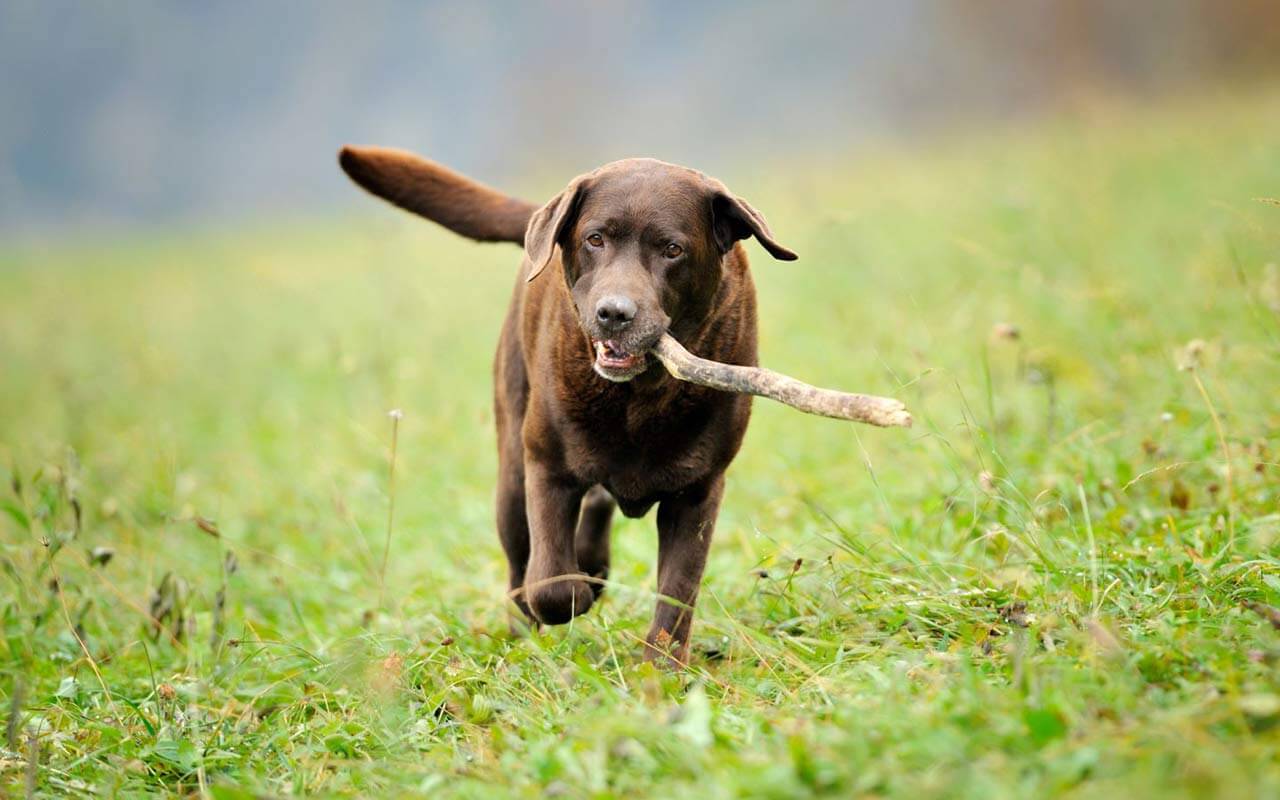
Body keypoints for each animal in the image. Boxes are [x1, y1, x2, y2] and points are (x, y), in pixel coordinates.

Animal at [337, 148, 788, 660]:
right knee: (521, 566)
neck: (638, 396)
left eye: (672, 249)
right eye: (595, 239)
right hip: (512, 474)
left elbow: (677, 593)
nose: (613, 313)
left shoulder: (697, 492)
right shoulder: (547, 468)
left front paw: (662, 669)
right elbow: (551, 586)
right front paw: (572, 593)